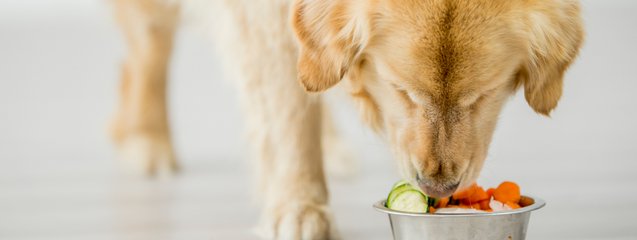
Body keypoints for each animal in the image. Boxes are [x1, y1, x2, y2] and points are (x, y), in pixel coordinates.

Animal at [107, 0, 584, 238]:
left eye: (482, 96)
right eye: (399, 89)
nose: (437, 189)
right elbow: (288, 107)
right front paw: (299, 206)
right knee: (147, 50)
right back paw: (147, 138)